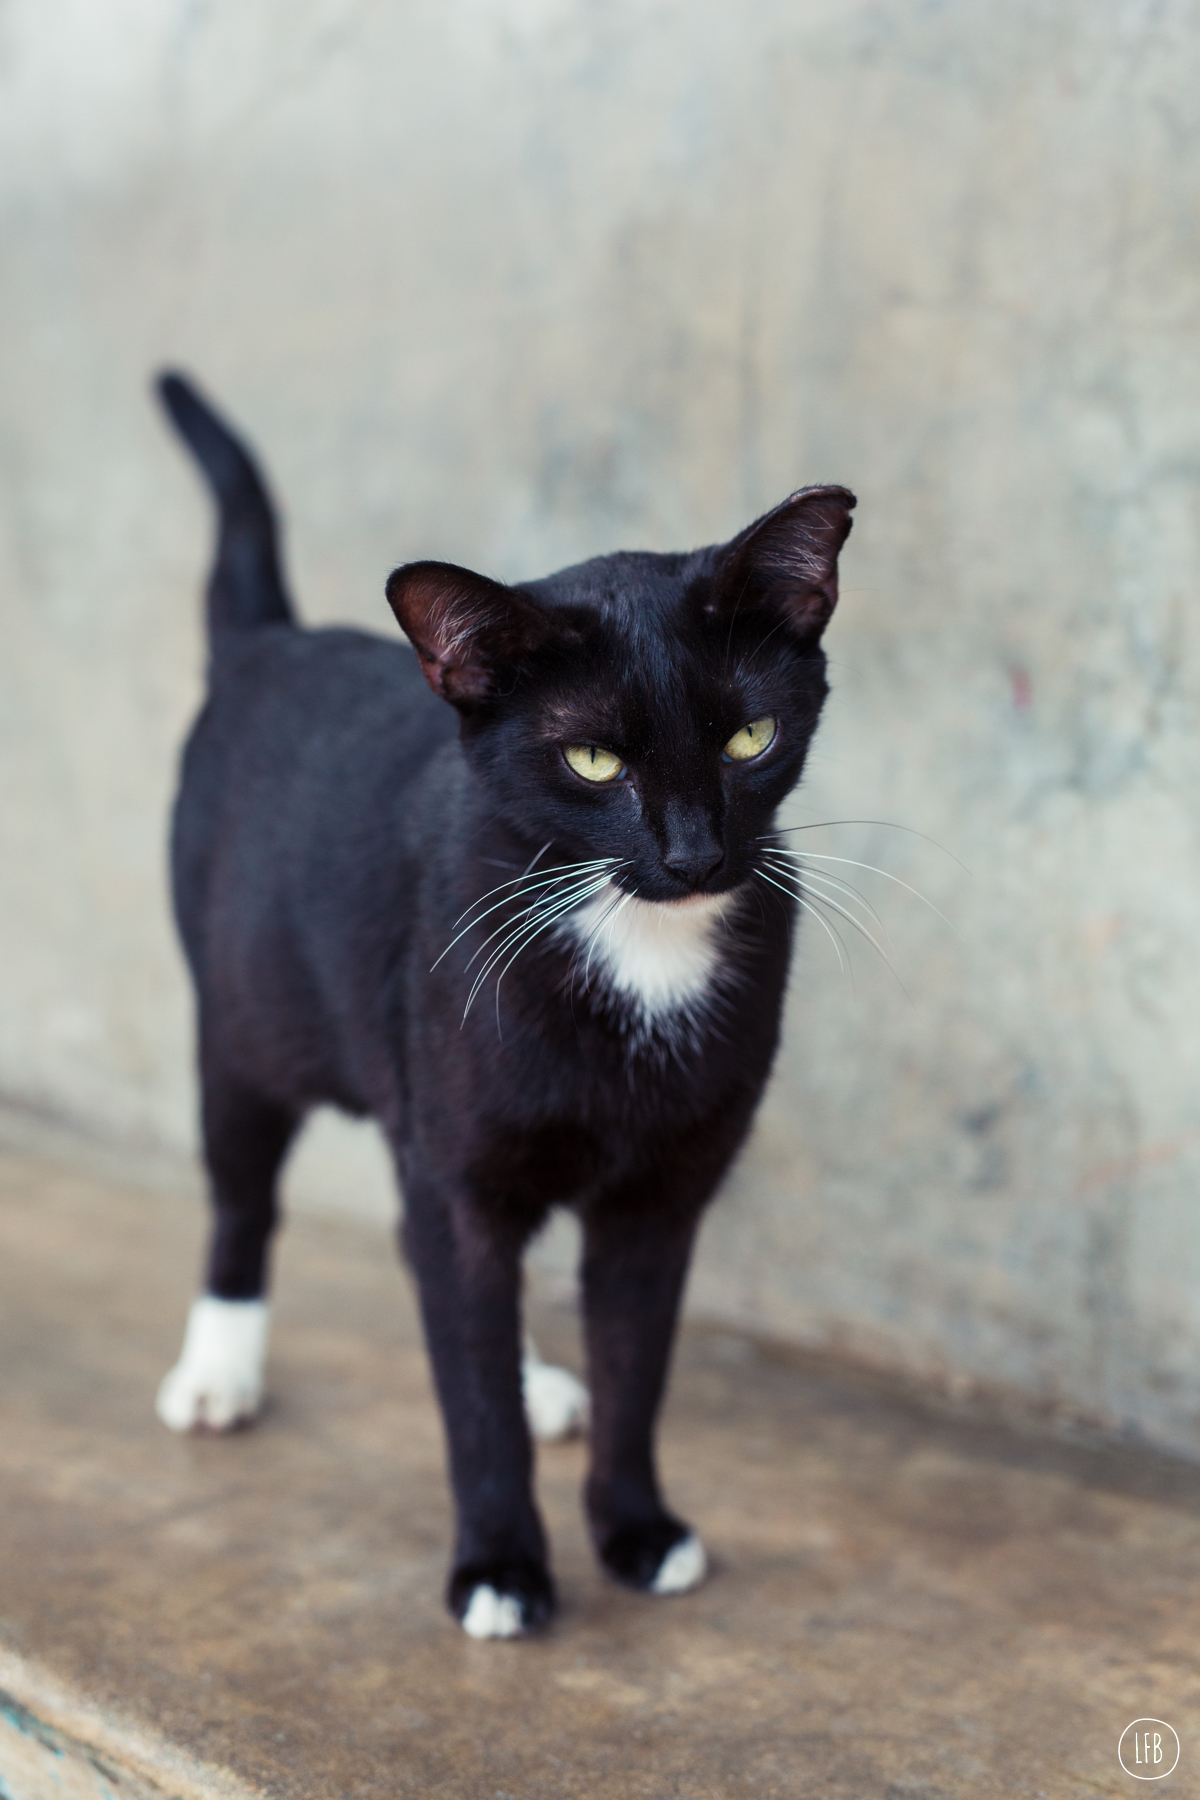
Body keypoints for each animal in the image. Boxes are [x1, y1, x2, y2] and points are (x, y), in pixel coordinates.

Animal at [154, 372, 852, 1641]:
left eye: (750, 736)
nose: (693, 853)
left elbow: (635, 1367)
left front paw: (635, 1529)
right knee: (245, 1200)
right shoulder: (461, 1155)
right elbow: (465, 1389)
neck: (636, 942)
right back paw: (221, 1370)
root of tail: (271, 641)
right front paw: (500, 1567)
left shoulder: (660, 1199)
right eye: (591, 761)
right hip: (240, 1023)